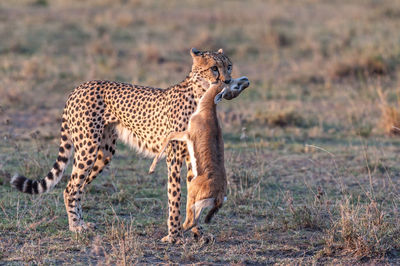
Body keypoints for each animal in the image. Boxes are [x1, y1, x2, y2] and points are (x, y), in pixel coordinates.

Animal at [10, 47, 250, 243]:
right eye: (214, 69)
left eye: (229, 66)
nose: (228, 81)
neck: (201, 94)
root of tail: (80, 86)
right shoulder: (174, 157)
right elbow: (174, 196)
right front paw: (174, 235)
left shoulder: (193, 159)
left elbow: (193, 197)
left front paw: (198, 233)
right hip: (88, 147)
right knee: (71, 187)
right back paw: (76, 227)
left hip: (105, 152)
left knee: (80, 186)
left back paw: (82, 222)